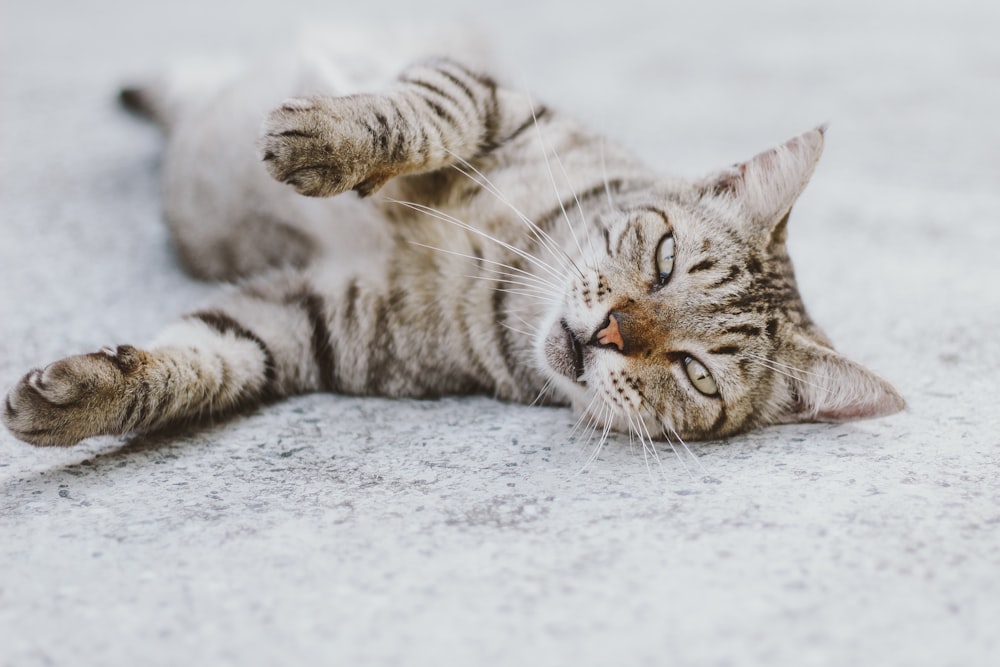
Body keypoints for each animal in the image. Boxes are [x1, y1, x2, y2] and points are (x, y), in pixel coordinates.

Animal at [1, 32, 908, 448]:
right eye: (663, 259)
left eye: (696, 372)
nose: (611, 331)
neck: (505, 280)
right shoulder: (490, 96)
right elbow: (420, 113)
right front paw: (330, 142)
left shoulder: (304, 326)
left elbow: (202, 362)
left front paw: (85, 399)